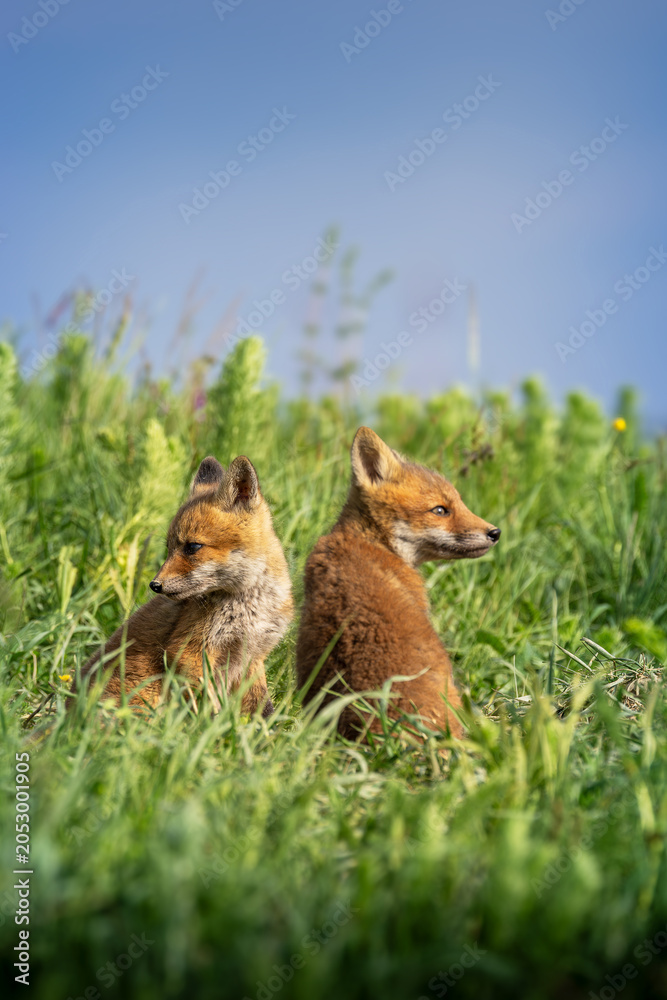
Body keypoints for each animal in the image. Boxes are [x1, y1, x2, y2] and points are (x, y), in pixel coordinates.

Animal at [72, 455, 293, 716]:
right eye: (169, 548)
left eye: (193, 547)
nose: (155, 585)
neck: (249, 603)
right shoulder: (190, 650)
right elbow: (210, 709)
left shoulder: (253, 655)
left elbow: (263, 708)